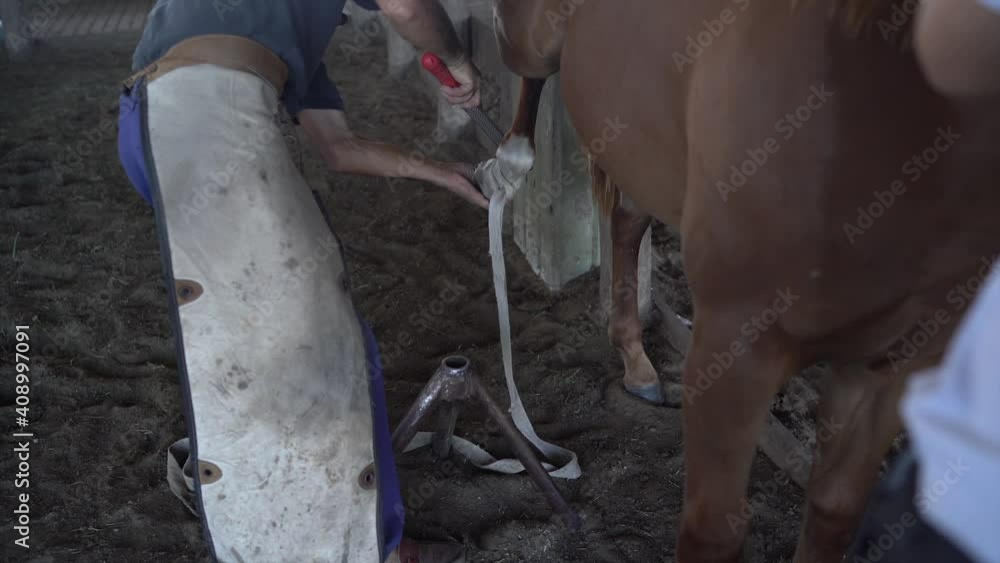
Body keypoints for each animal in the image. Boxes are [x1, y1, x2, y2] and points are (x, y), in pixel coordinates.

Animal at [490, 0, 1000, 561]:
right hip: (535, 48)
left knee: (626, 220)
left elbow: (835, 511)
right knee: (525, 72)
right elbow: (715, 531)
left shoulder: (889, 370)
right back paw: (511, 159)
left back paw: (636, 362)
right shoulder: (734, 356)